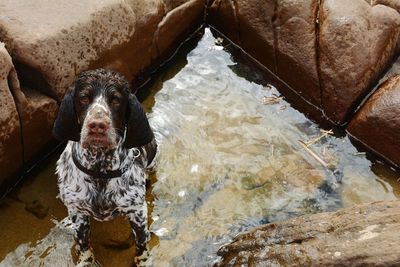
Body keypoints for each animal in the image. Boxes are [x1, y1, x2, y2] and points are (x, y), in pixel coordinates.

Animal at [51, 69, 155, 266]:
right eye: (84, 98)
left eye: (116, 100)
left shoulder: (137, 212)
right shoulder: (77, 212)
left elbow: (141, 245)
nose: (97, 125)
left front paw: (143, 260)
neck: (99, 169)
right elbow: (83, 245)